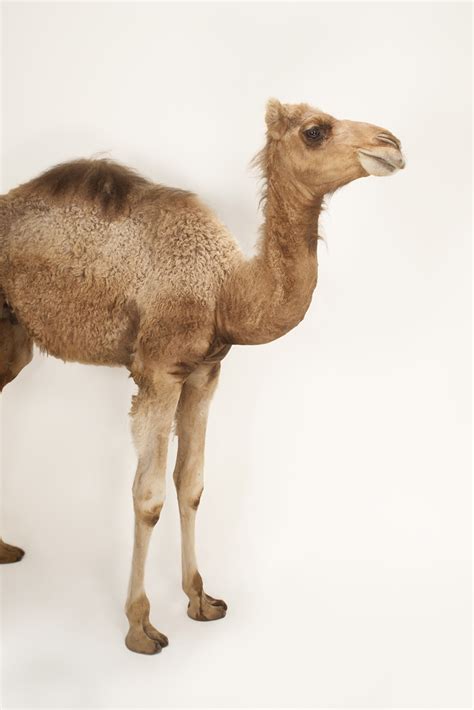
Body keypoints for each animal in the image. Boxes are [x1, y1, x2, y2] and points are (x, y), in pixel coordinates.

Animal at [0, 100, 405, 654]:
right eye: (315, 131)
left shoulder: (204, 372)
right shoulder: (157, 370)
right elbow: (147, 497)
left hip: (13, 336)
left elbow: (190, 484)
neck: (223, 291)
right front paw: (141, 627)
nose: (391, 143)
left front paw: (202, 599)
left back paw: (5, 549)